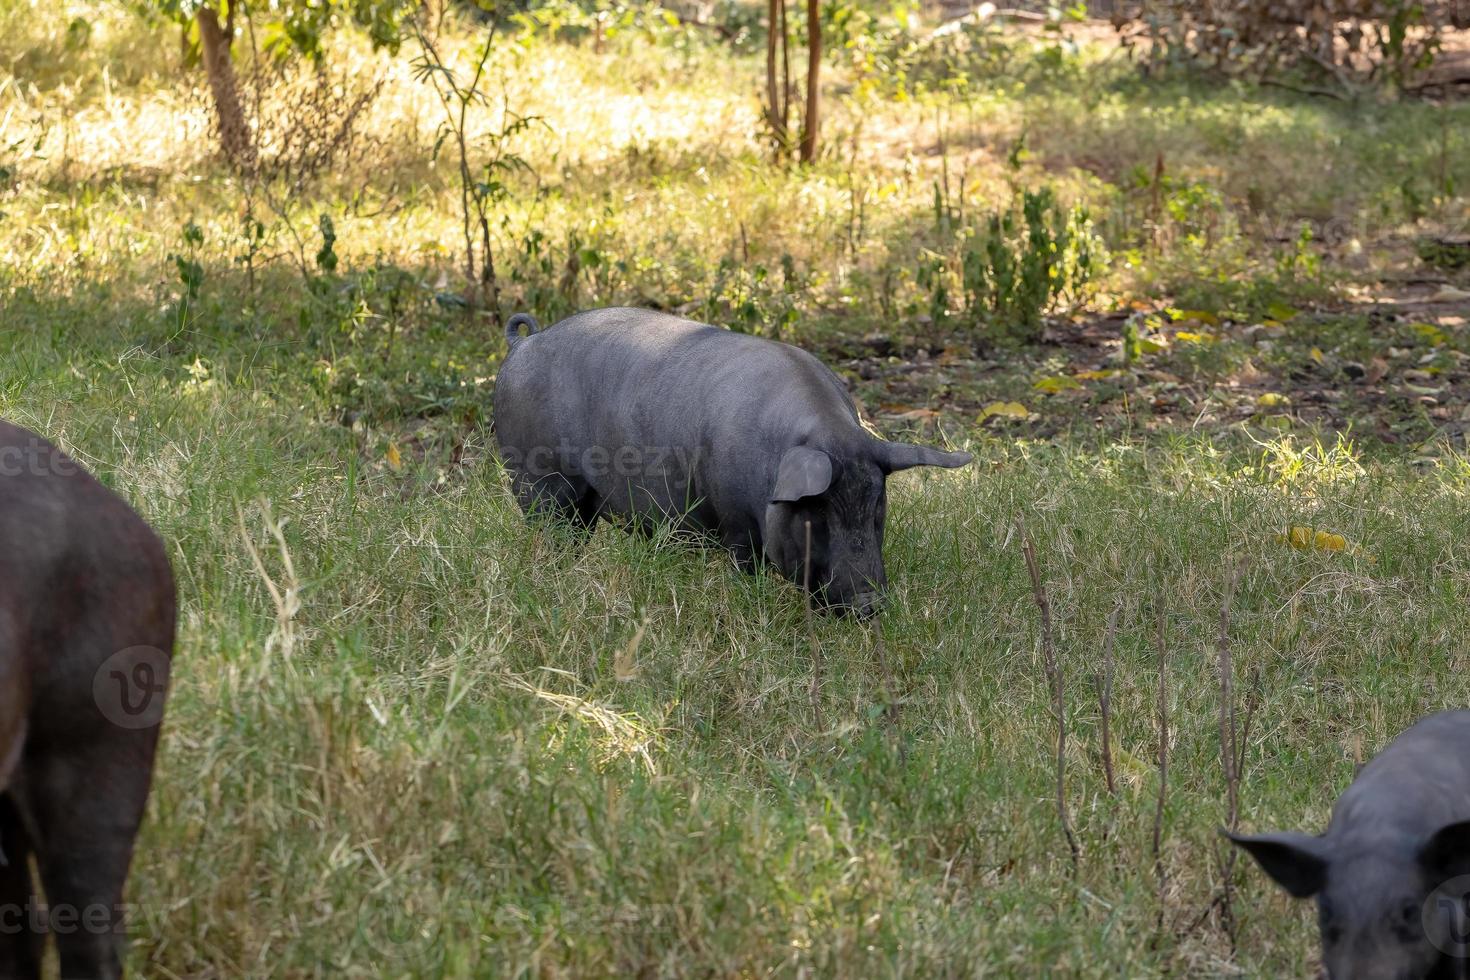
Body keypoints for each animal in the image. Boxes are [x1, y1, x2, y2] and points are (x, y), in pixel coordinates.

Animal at [496, 307, 976, 617]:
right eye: (817, 513)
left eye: (877, 509)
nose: (868, 605)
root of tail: (525, 341)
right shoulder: (736, 521)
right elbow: (746, 566)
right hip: (536, 478)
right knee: (550, 528)